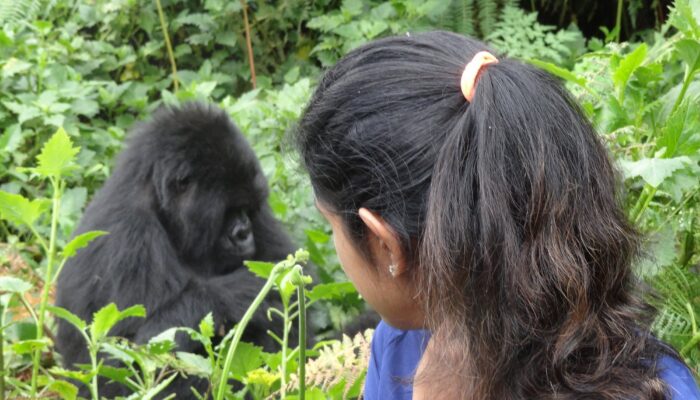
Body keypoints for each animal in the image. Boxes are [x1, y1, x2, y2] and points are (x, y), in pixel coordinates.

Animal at [55, 102, 296, 396]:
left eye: (247, 208)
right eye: (229, 209)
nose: (244, 234)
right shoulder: (129, 238)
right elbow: (125, 364)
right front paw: (245, 291)